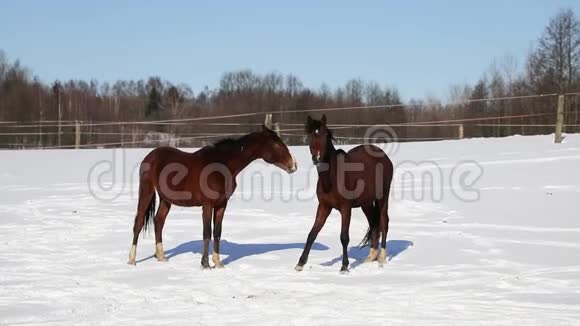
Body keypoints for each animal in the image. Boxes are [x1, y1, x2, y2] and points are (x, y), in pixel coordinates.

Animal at [129, 125, 296, 268]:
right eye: (277, 145)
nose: (294, 165)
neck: (222, 165)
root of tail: (151, 155)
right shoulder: (207, 204)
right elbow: (207, 232)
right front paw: (205, 263)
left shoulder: (222, 204)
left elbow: (217, 232)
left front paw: (218, 263)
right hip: (146, 191)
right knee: (138, 223)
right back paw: (132, 260)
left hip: (166, 199)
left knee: (159, 221)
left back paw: (162, 256)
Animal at [294, 115, 394, 272]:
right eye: (310, 136)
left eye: (325, 135)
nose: (317, 158)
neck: (332, 177)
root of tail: (384, 157)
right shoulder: (324, 206)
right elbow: (312, 234)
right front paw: (300, 263)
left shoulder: (346, 208)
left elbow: (344, 237)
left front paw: (344, 266)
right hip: (366, 203)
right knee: (373, 223)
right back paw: (371, 257)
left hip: (383, 196)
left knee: (384, 222)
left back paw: (382, 258)